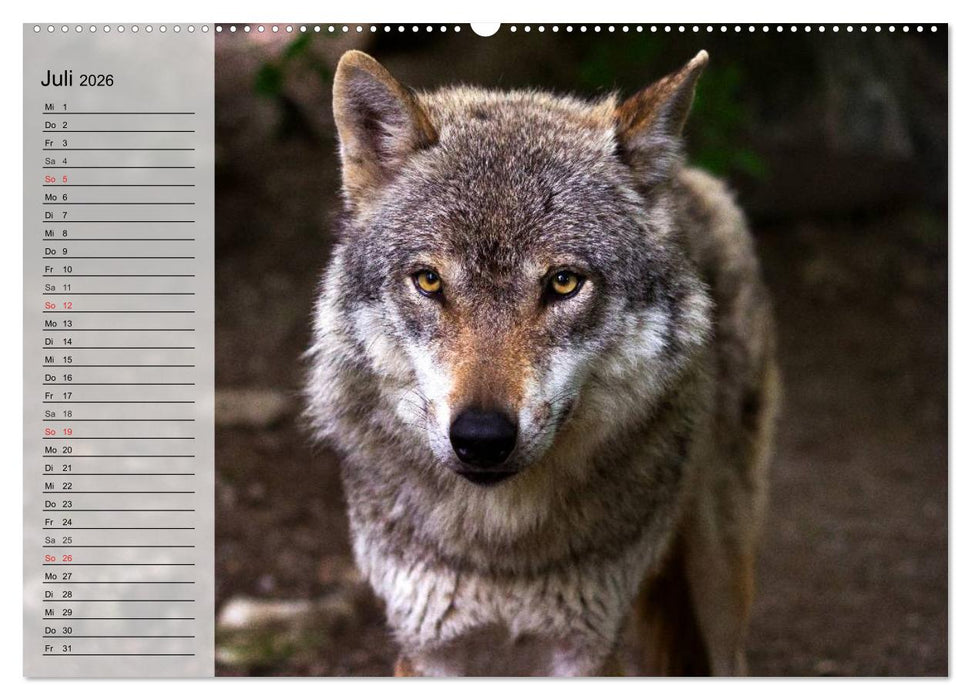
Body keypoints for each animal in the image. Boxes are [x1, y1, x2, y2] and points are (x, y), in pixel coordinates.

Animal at [305, 48, 779, 677]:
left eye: (563, 283)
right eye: (429, 281)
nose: (482, 438)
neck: (501, 548)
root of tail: (691, 181)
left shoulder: (587, 648)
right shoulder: (428, 648)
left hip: (719, 582)